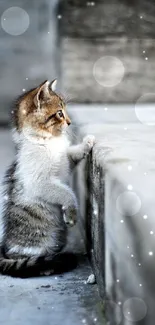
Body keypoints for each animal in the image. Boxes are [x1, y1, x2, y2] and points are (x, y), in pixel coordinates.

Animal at [0, 78, 95, 276]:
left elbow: (71, 153)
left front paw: (87, 143)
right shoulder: (40, 182)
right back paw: (46, 265)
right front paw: (71, 214)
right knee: (25, 259)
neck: (47, 141)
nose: (70, 122)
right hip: (36, 242)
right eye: (59, 113)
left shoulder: (65, 161)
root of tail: (6, 250)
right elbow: (67, 193)